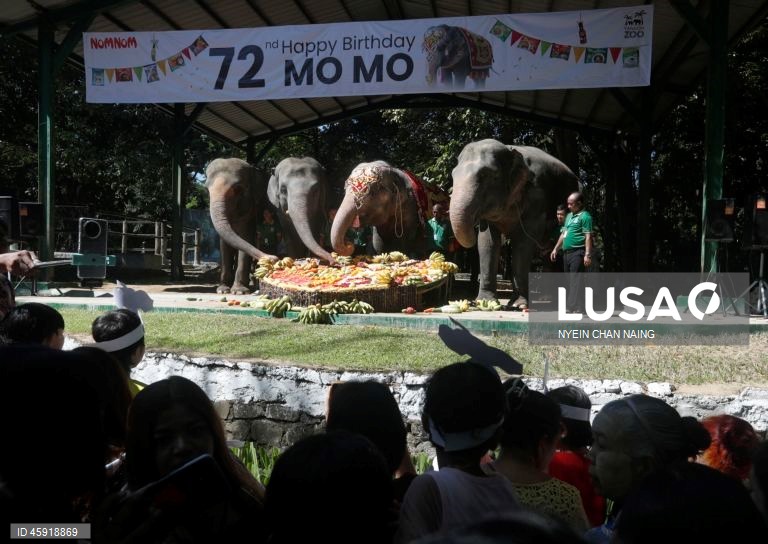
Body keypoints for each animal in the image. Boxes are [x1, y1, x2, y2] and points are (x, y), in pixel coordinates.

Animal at [206, 157, 273, 294]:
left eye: (238, 189)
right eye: (206, 189)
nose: (273, 258)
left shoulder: (250, 211)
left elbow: (245, 238)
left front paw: (239, 291)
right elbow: (224, 243)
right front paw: (222, 290)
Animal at [450, 139, 580, 307]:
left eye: (487, 175)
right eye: (453, 175)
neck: (510, 150)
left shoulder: (537, 196)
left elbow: (523, 242)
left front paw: (519, 304)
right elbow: (487, 242)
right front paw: (485, 302)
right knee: (548, 253)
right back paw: (546, 298)